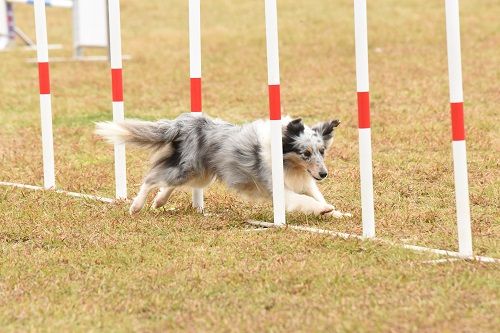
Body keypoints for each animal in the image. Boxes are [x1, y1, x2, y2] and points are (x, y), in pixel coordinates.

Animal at [94, 113, 352, 217]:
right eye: (305, 153)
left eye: (322, 151)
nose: (324, 174)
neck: (290, 164)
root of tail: (184, 122)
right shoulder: (280, 189)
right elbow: (306, 201)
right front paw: (324, 210)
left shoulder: (305, 182)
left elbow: (316, 195)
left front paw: (338, 213)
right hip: (188, 169)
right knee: (151, 179)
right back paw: (136, 206)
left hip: (201, 172)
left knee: (167, 183)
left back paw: (160, 201)